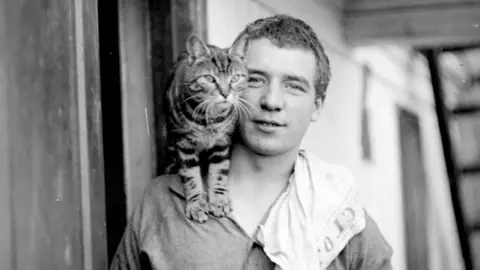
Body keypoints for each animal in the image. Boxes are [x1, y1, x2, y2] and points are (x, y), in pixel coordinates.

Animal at [163, 34, 249, 224]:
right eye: (209, 79)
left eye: (235, 78)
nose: (225, 93)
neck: (208, 120)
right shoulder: (183, 145)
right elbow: (190, 176)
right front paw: (196, 205)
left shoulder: (222, 143)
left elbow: (219, 172)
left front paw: (219, 201)